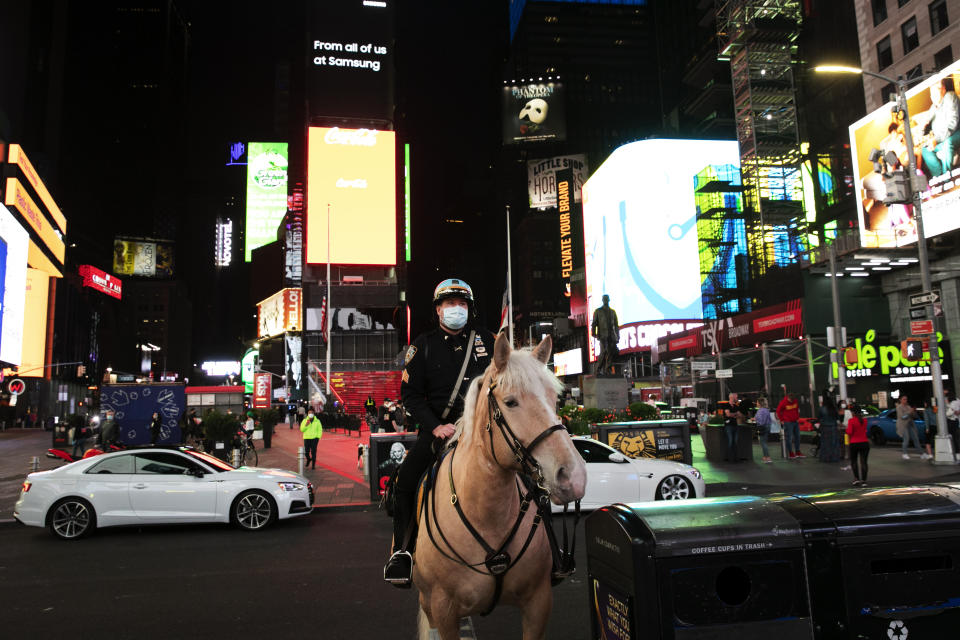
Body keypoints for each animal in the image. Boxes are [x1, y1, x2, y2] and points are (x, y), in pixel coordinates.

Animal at [412, 336, 584, 640]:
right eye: (510, 402)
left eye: (554, 400)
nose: (573, 476)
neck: (486, 513)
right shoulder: (443, 609)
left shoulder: (538, 602)